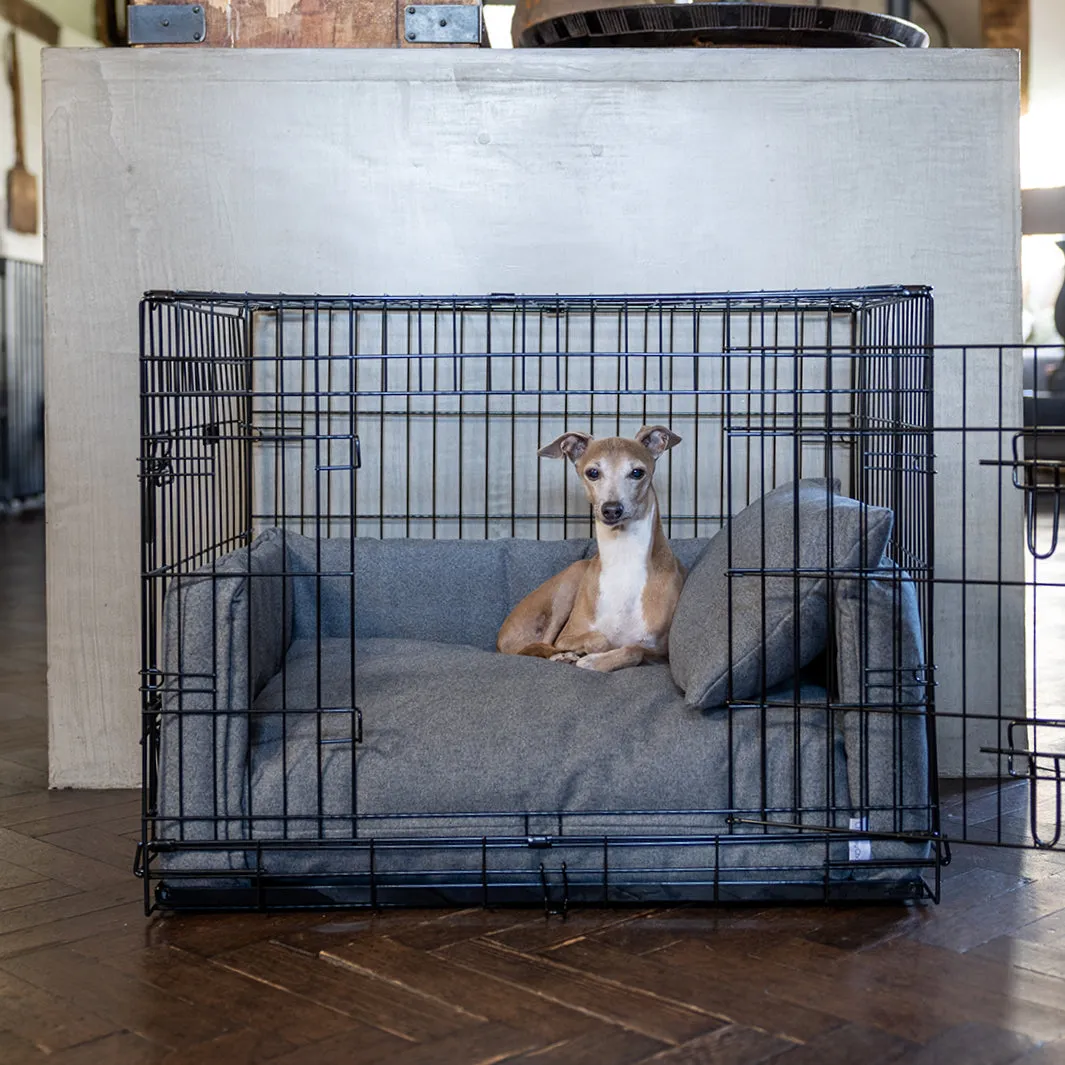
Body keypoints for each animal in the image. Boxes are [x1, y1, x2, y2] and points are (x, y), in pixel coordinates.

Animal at [496, 426, 685, 668]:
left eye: (637, 472)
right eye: (593, 472)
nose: (611, 509)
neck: (623, 558)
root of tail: (501, 638)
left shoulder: (661, 652)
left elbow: (634, 649)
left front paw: (594, 662)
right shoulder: (568, 635)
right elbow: (600, 639)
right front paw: (588, 656)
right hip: (571, 580)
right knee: (538, 645)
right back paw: (562, 655)